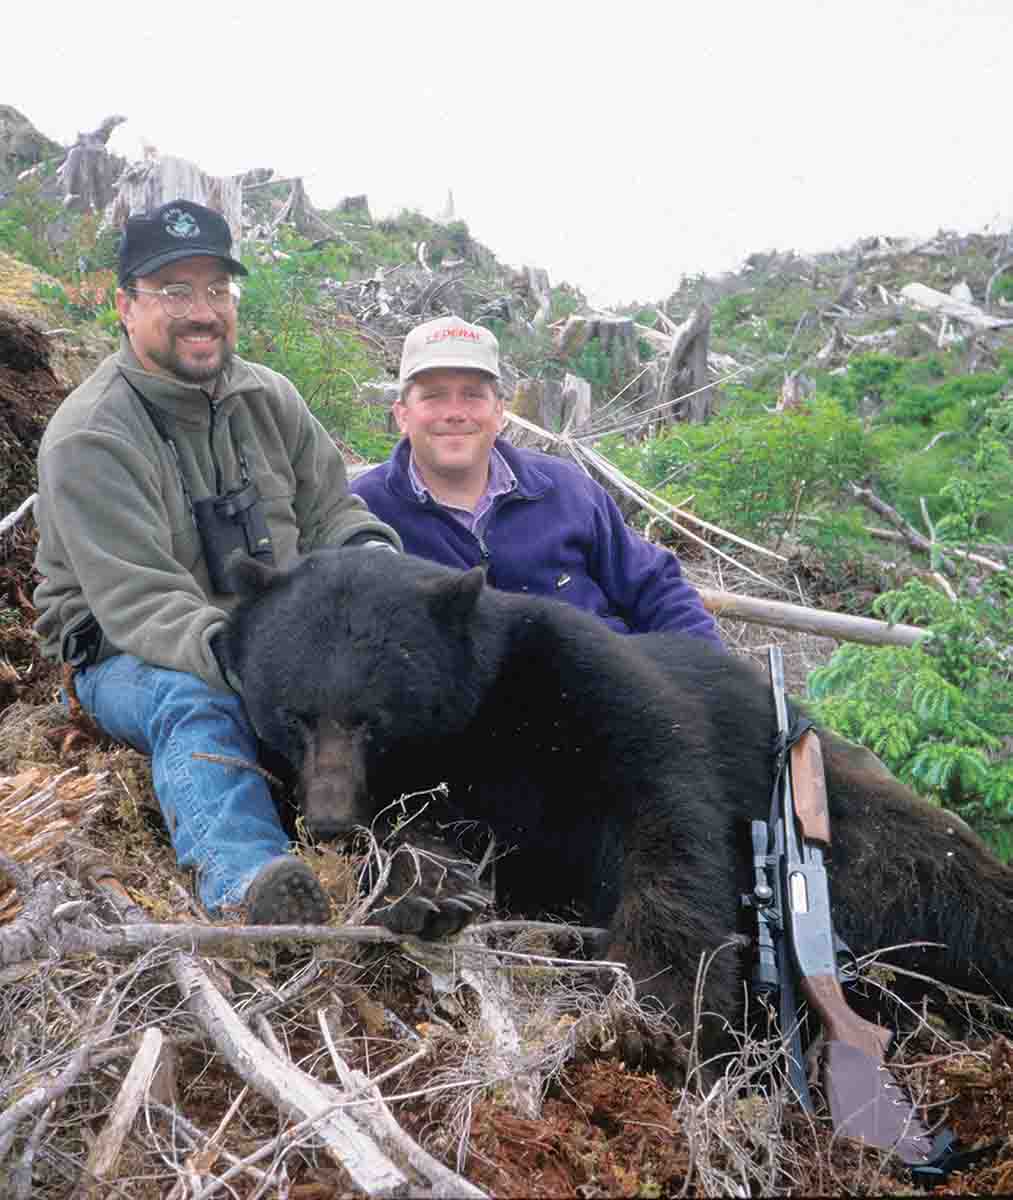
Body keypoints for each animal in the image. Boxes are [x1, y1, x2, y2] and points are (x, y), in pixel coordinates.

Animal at [225, 549, 1012, 1027]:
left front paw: (662, 1001)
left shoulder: (589, 687)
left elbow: (665, 816)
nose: (330, 819)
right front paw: (434, 888)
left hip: (876, 830)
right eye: (293, 714)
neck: (479, 726)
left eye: (373, 720)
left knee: (948, 890)